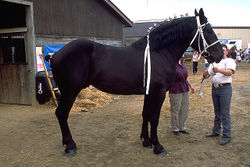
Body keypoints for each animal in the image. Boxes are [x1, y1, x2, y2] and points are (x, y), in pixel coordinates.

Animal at [46, 8, 223, 157]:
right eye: (208, 30)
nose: (220, 55)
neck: (158, 52)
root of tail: (54, 54)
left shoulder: (149, 92)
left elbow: (146, 114)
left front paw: (146, 141)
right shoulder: (159, 93)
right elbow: (155, 118)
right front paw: (158, 146)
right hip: (70, 91)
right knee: (61, 114)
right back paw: (70, 146)